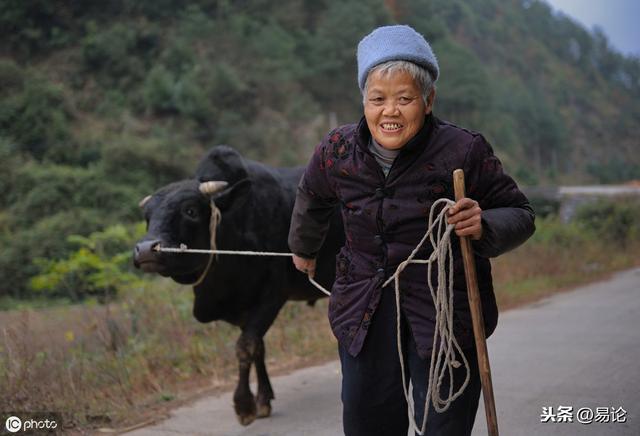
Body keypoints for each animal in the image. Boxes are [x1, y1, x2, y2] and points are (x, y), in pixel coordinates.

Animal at [132, 146, 342, 426]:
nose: (146, 249)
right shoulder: (243, 307)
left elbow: (245, 346)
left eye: (190, 211)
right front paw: (263, 400)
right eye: (147, 217)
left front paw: (244, 405)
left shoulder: (271, 297)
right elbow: (258, 347)